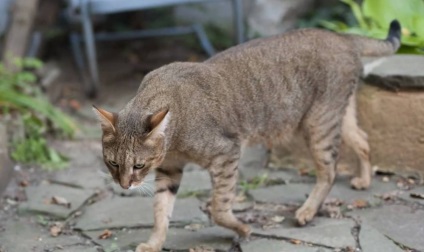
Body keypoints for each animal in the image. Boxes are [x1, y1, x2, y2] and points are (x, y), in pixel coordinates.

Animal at [93, 20, 400, 252]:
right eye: (113, 163)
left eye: (139, 165)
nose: (124, 186)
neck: (174, 140)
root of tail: (340, 35)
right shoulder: (170, 170)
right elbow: (160, 211)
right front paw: (154, 243)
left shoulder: (226, 154)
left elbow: (219, 207)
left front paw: (241, 228)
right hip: (337, 115)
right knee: (363, 139)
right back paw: (363, 179)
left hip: (318, 124)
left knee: (330, 170)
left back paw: (307, 211)